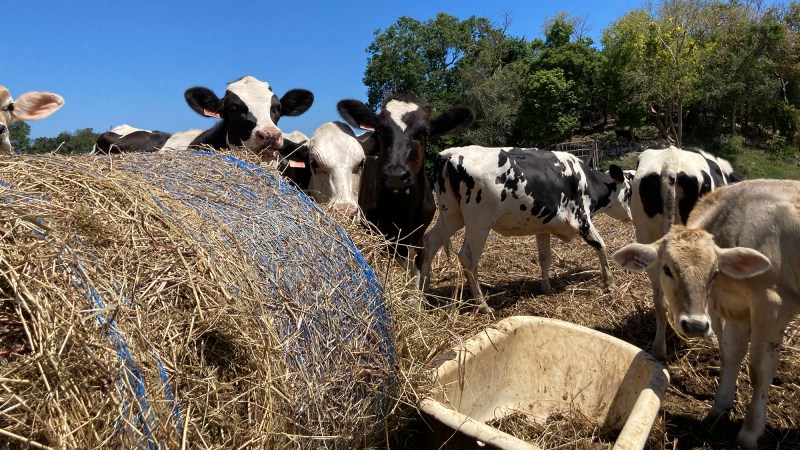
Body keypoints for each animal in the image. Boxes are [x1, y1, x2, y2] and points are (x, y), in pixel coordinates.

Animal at [418, 147, 632, 312]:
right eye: (629, 192)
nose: (631, 217)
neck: (585, 180)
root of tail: (450, 154)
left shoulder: (544, 226)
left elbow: (545, 258)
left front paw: (546, 287)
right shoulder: (582, 220)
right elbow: (601, 245)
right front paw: (610, 282)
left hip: (451, 216)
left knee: (430, 243)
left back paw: (423, 291)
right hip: (479, 223)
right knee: (468, 257)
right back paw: (483, 305)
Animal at [612, 179, 800, 450]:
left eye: (714, 272)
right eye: (667, 269)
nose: (696, 325)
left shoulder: (772, 306)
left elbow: (759, 370)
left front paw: (750, 432)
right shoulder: (737, 309)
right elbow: (731, 355)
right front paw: (719, 409)